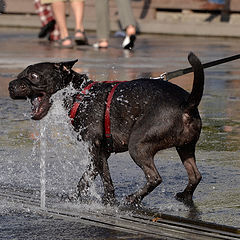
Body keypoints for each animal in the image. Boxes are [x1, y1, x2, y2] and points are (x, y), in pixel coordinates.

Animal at [8, 52, 204, 204]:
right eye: (19, 74)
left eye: (33, 76)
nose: (10, 85)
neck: (80, 95)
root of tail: (186, 105)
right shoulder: (102, 153)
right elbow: (101, 178)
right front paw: (104, 199)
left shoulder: (94, 151)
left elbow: (91, 178)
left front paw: (77, 198)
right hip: (185, 147)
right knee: (195, 175)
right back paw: (185, 195)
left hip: (138, 145)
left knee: (154, 177)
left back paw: (133, 199)